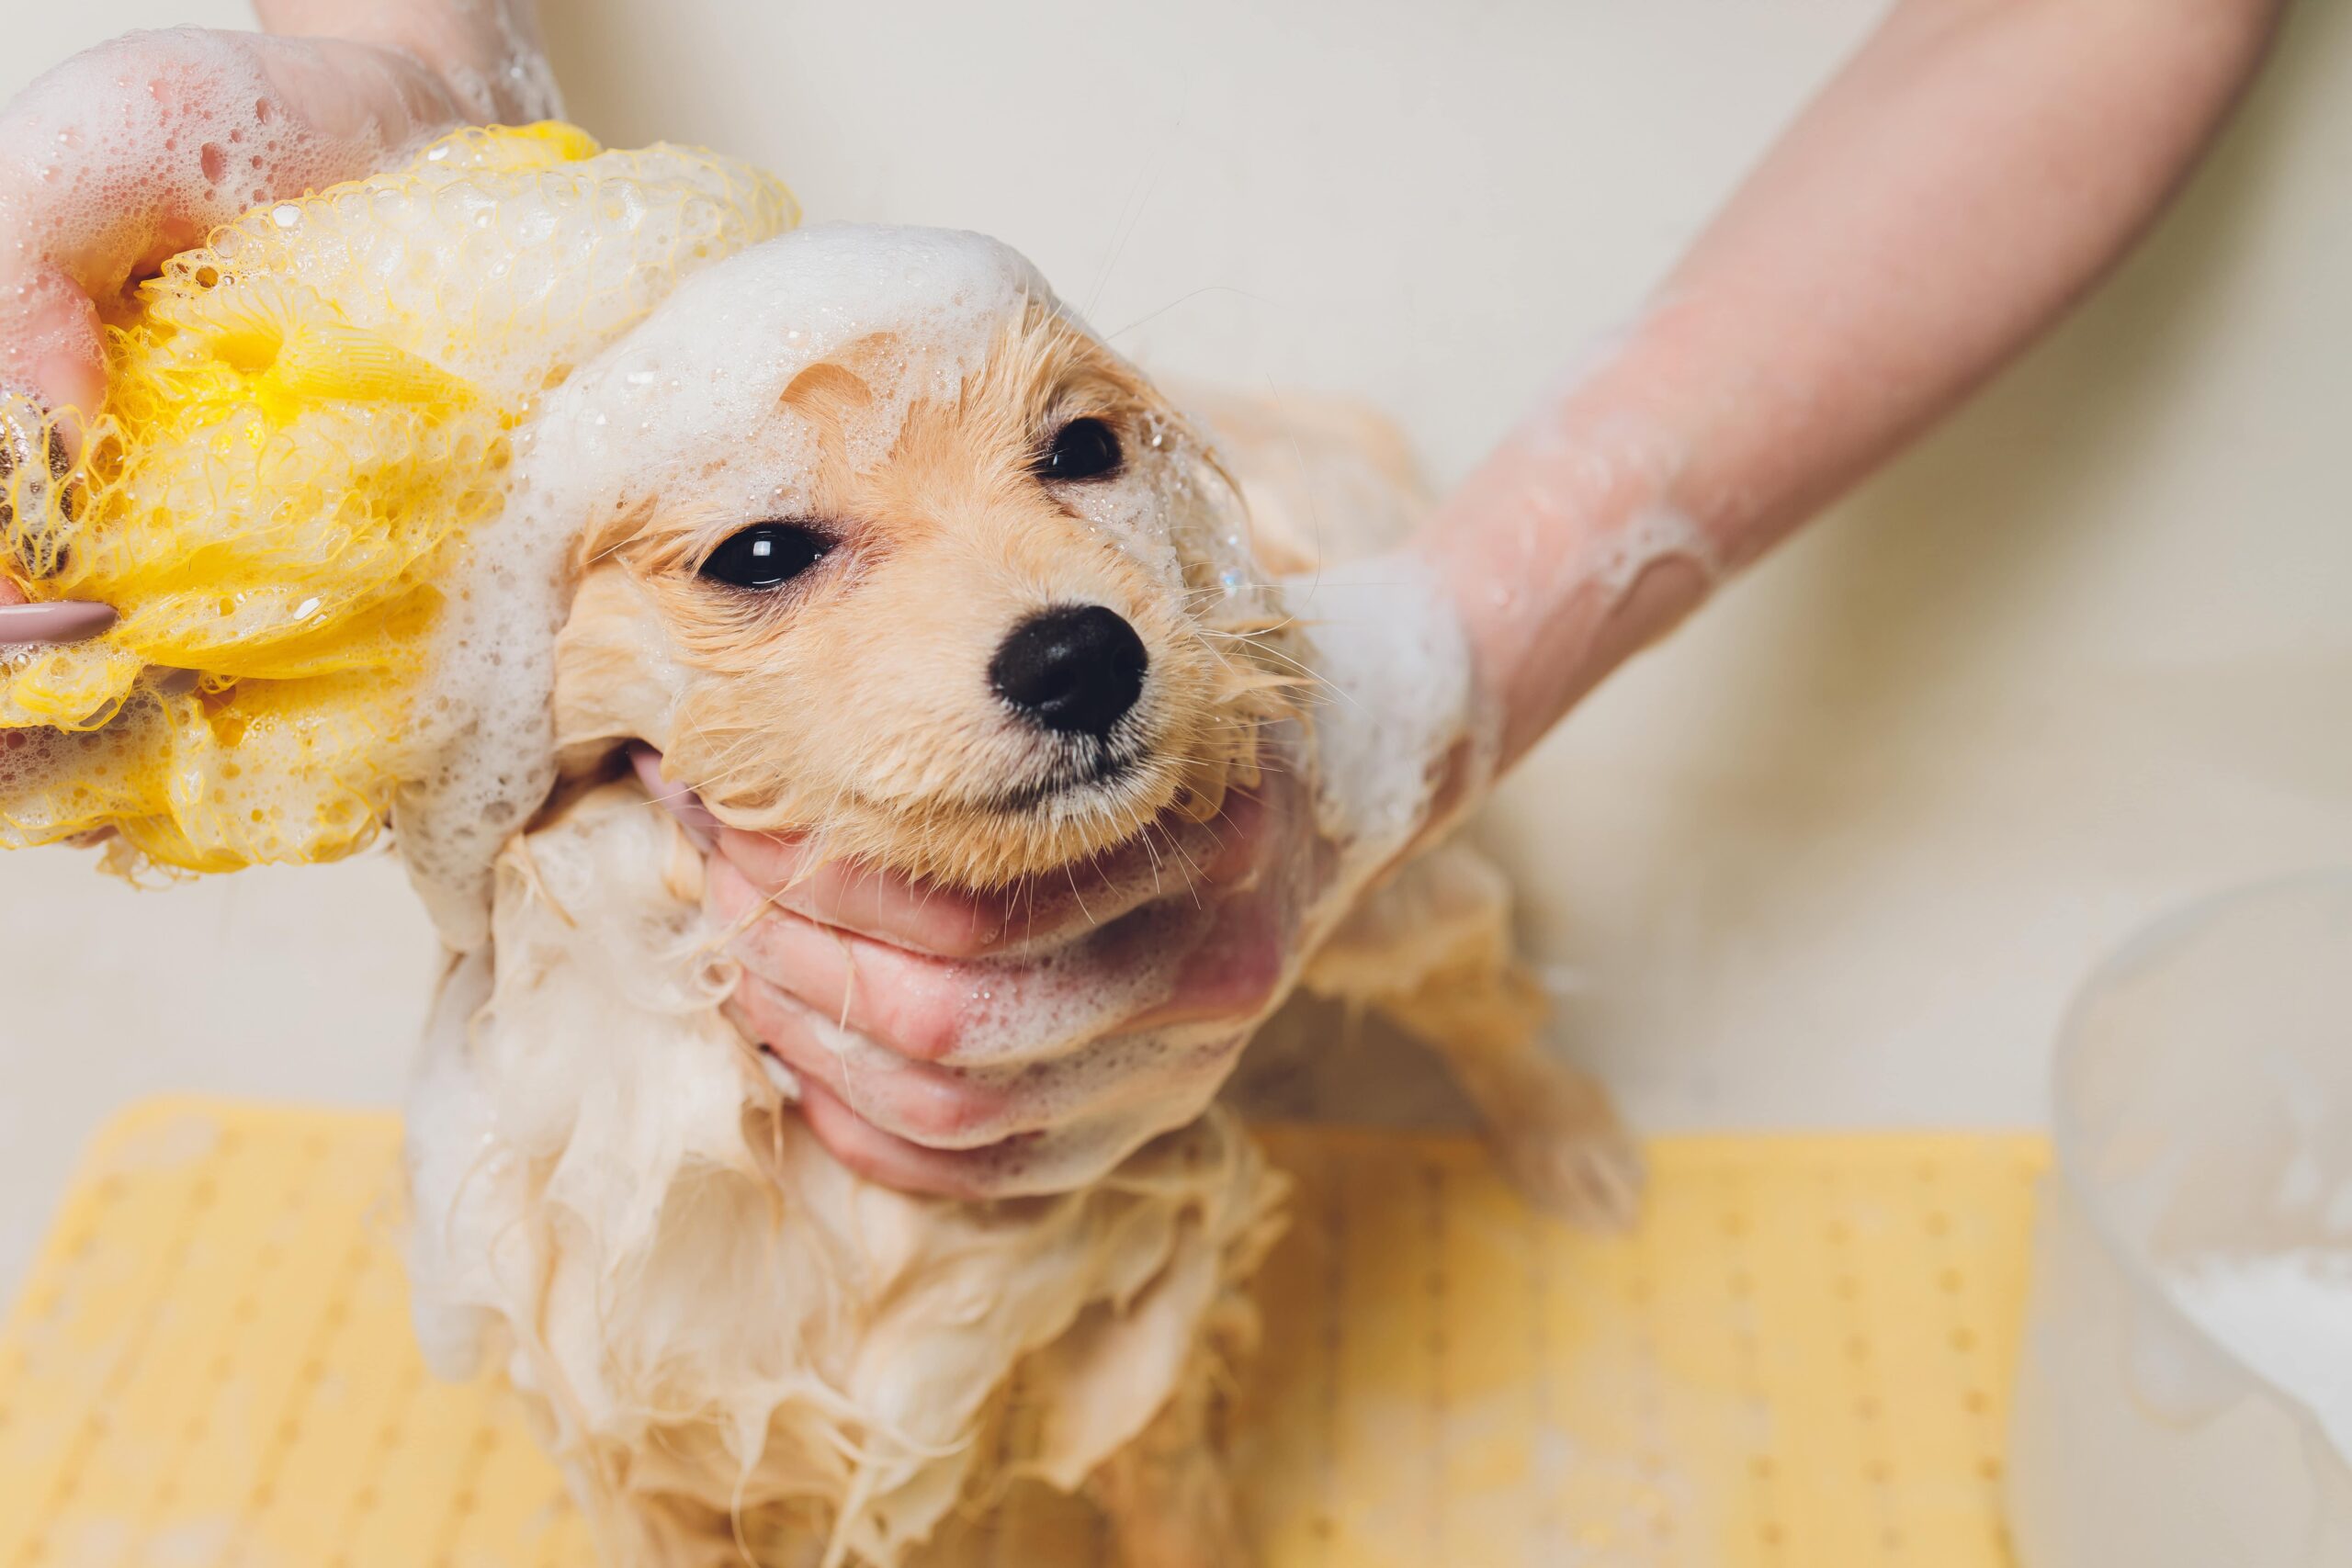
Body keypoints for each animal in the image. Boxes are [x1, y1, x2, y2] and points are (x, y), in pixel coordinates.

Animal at [409, 223, 1636, 1568]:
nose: (1080, 656)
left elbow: (1171, 1509)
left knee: (1487, 999)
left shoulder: (1144, 1303)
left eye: (1085, 447)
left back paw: (1571, 1146)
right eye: (762, 553)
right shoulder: (643, 1438)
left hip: (1387, 883)